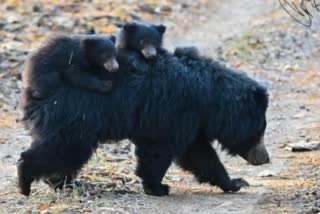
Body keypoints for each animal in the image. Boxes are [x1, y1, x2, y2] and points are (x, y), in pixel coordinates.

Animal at [18, 22, 270, 196]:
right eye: (259, 131)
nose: (265, 158)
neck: (209, 98)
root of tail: (34, 86)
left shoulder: (191, 121)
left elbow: (199, 154)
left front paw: (235, 183)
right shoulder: (176, 111)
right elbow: (162, 150)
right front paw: (158, 187)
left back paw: (60, 181)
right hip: (76, 115)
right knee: (61, 149)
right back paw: (26, 181)